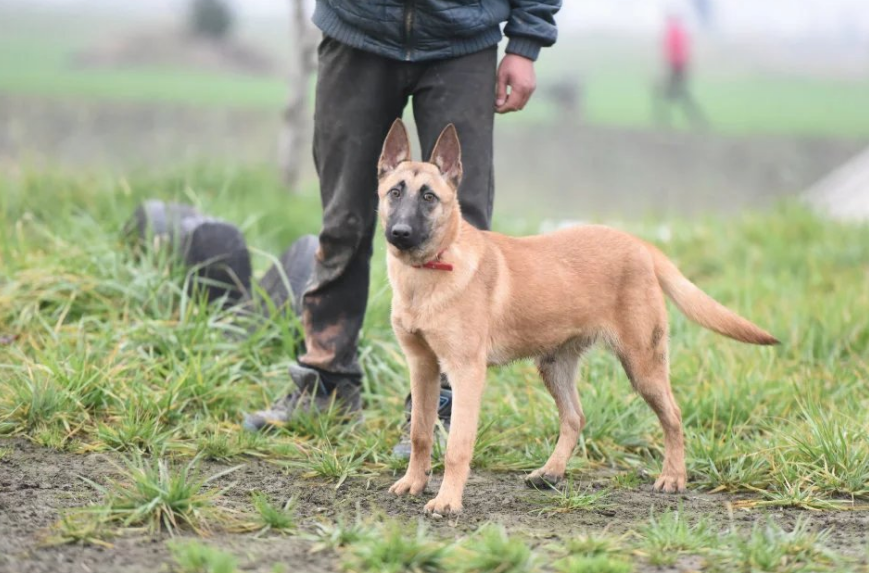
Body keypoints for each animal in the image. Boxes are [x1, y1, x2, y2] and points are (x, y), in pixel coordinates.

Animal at [376, 118, 776, 516]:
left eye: (429, 197)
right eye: (394, 192)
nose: (400, 233)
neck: (429, 271)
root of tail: (637, 243)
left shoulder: (465, 373)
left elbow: (457, 446)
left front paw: (447, 500)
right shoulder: (422, 367)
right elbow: (420, 433)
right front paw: (413, 483)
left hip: (643, 365)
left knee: (673, 416)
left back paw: (673, 477)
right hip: (554, 366)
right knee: (575, 417)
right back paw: (551, 471)